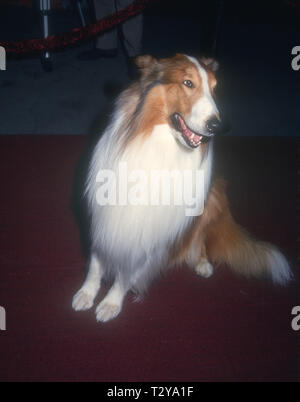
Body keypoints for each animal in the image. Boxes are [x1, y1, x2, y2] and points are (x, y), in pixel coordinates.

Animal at [71, 54, 292, 324]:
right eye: (188, 83)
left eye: (215, 87)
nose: (219, 127)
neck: (158, 144)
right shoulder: (104, 217)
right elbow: (95, 263)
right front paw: (86, 293)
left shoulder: (147, 233)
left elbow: (126, 272)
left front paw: (111, 302)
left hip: (213, 197)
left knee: (201, 238)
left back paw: (202, 262)